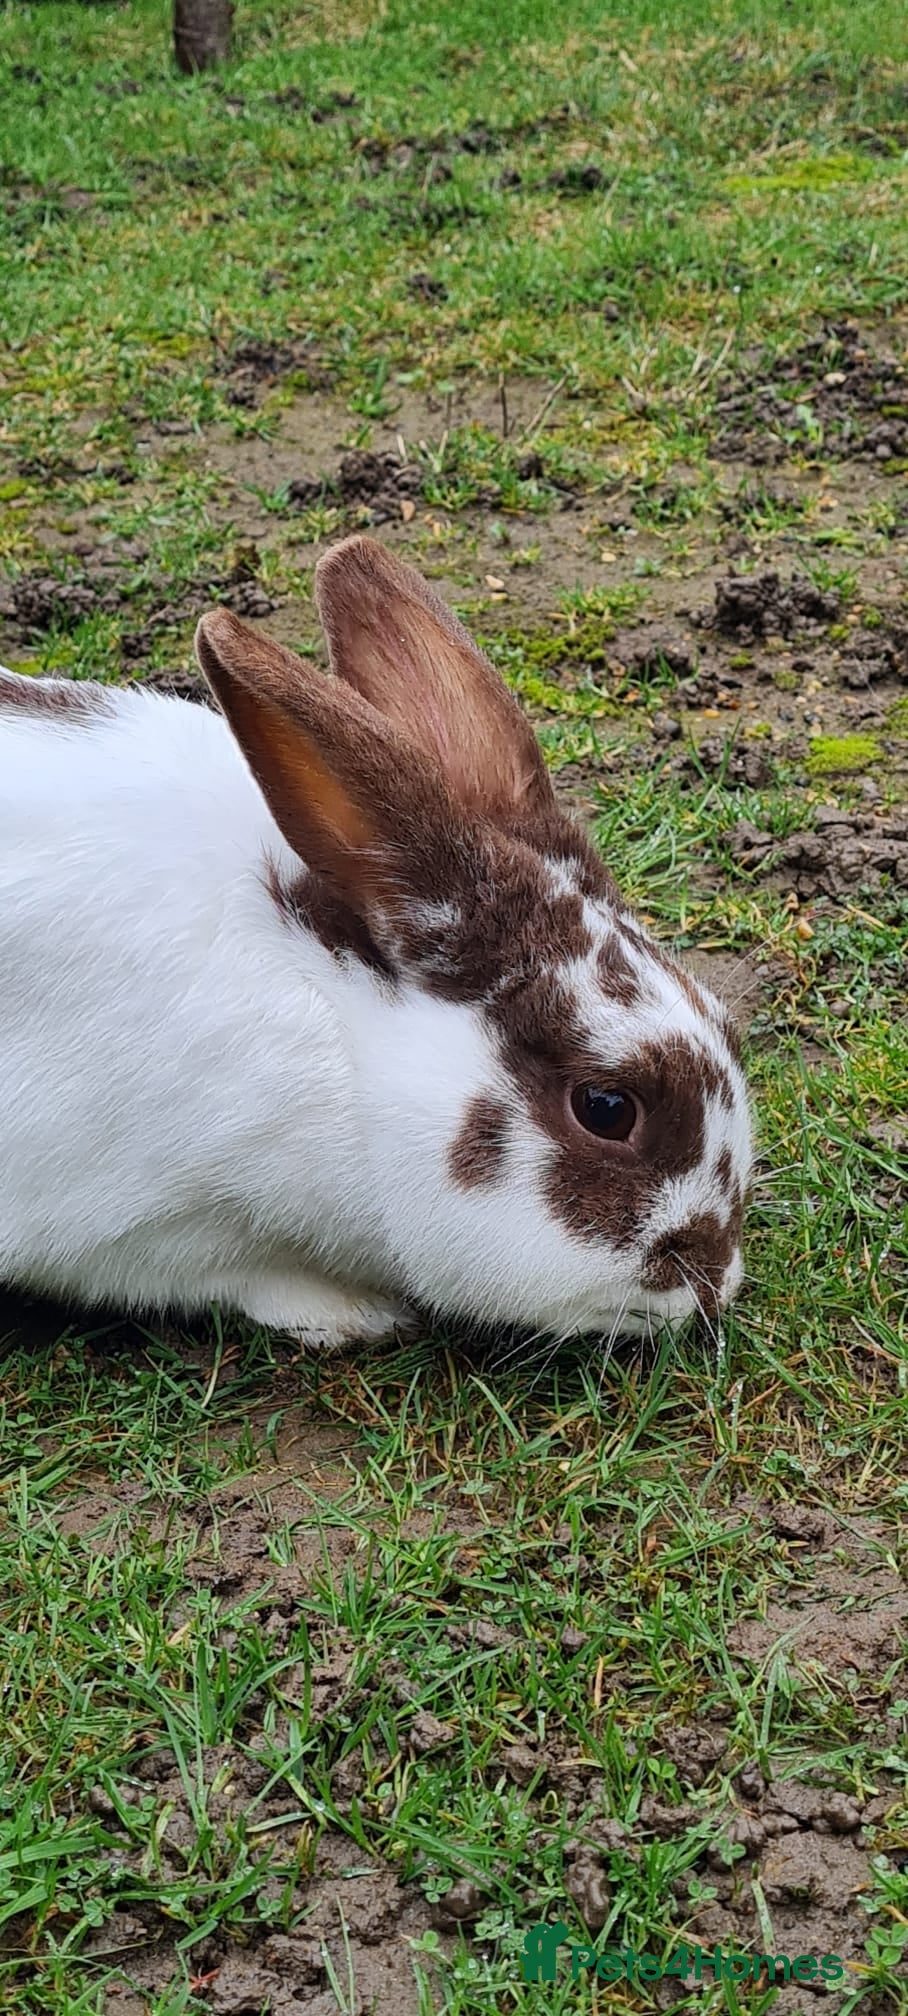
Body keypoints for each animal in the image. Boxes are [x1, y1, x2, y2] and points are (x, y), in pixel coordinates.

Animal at [0, 535, 752, 1348]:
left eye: (727, 1022)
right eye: (607, 1108)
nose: (714, 1279)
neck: (342, 1042)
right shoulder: (125, 1225)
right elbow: (229, 1276)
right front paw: (352, 1313)